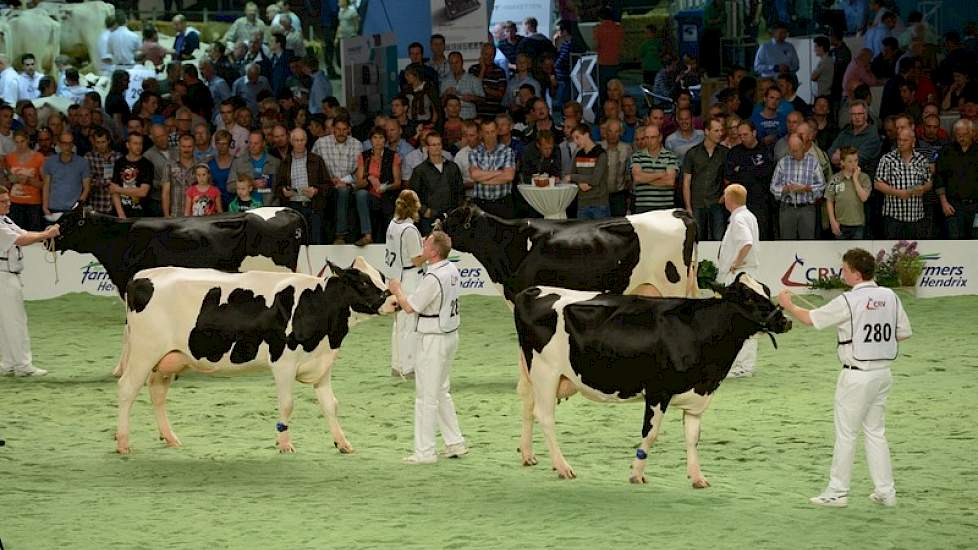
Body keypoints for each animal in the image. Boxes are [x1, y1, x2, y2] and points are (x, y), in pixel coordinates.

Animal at [117, 258, 396, 458]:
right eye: (363, 283)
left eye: (381, 277)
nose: (393, 301)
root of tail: (143, 276)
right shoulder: (283, 362)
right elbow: (287, 404)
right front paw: (284, 444)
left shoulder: (322, 365)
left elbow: (330, 405)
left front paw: (343, 443)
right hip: (144, 352)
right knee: (127, 389)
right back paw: (123, 443)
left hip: (168, 359)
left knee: (157, 393)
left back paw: (171, 438)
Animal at [516, 276, 788, 488]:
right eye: (748, 297)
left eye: (766, 290)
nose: (785, 321)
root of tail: (530, 290)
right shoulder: (658, 390)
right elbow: (651, 433)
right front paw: (637, 474)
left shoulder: (697, 396)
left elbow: (693, 437)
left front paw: (697, 477)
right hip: (546, 371)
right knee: (545, 416)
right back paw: (563, 467)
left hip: (534, 374)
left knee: (528, 408)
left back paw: (529, 456)